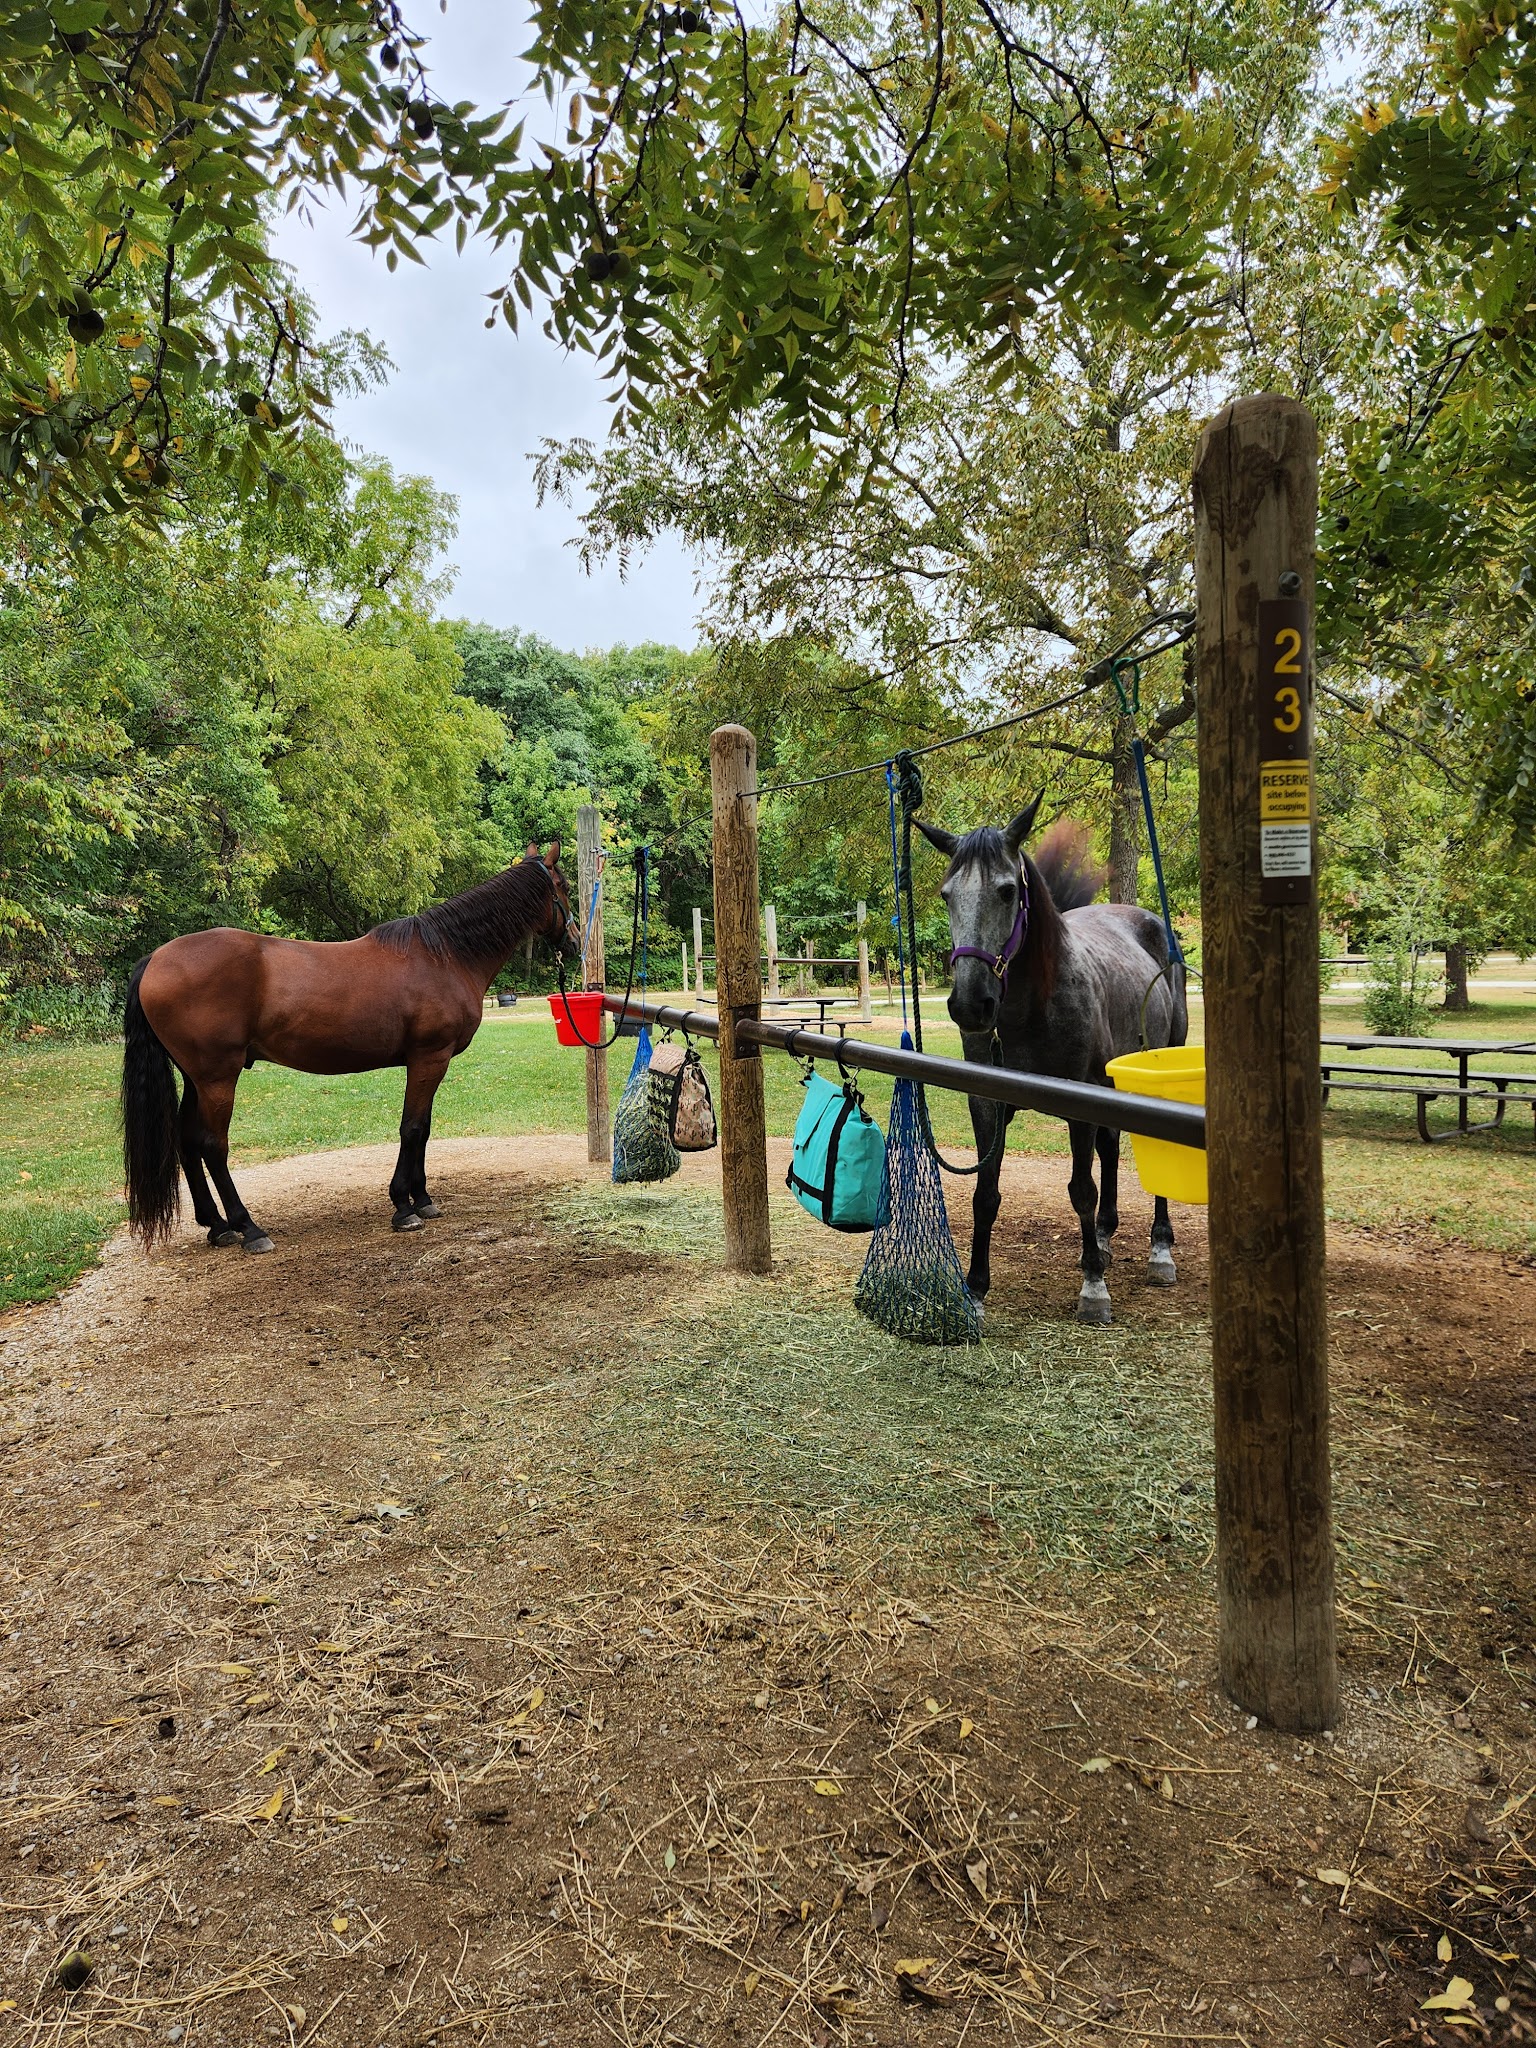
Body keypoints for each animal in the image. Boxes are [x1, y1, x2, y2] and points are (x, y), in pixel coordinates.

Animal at [122, 843, 579, 1255]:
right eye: (565, 886)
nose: (575, 942)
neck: (446, 956)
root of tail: (154, 959)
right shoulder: (429, 1057)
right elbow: (412, 1128)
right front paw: (404, 1207)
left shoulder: (432, 1061)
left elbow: (424, 1129)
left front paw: (423, 1199)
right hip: (218, 1077)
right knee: (213, 1146)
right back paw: (248, 1228)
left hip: (196, 1077)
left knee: (186, 1141)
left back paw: (217, 1227)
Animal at [915, 796, 1187, 1325]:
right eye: (946, 895)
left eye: (1006, 892)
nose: (970, 1005)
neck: (1031, 1007)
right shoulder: (988, 1105)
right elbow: (985, 1195)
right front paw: (975, 1290)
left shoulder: (1080, 1105)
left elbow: (1081, 1190)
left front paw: (1093, 1287)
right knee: (1110, 1150)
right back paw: (1103, 1237)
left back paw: (1159, 1250)